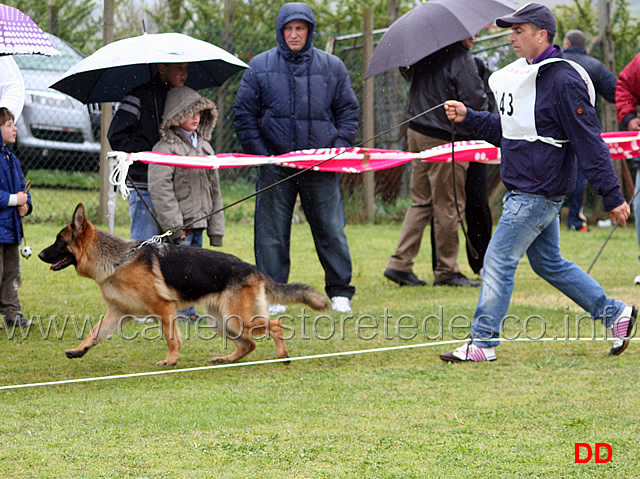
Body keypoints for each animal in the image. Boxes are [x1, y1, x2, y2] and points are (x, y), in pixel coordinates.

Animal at [38, 204, 330, 366]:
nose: (38, 254)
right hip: (222, 322)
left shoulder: (163, 308)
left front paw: (170, 360)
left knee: (276, 325)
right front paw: (80, 349)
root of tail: (255, 269)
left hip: (238, 319)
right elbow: (94, 332)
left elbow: (171, 337)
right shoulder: (118, 313)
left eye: (59, 242)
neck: (118, 260)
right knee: (249, 345)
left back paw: (283, 355)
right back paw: (225, 360)